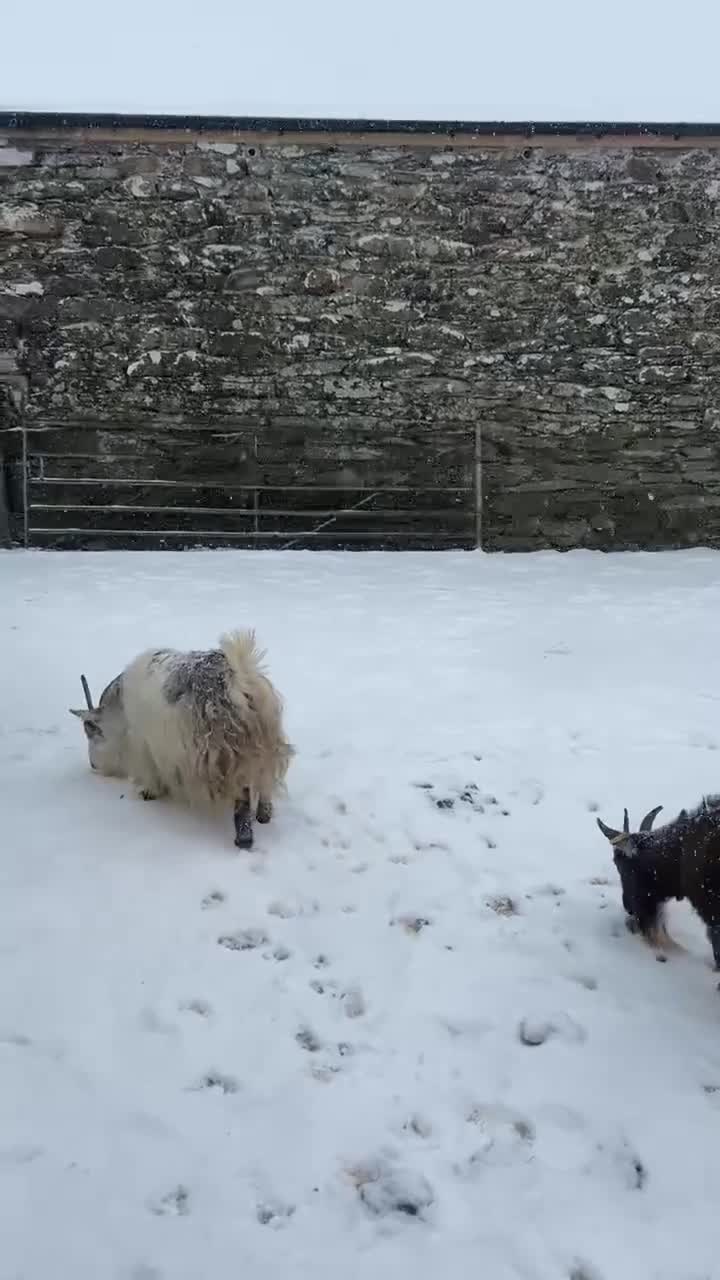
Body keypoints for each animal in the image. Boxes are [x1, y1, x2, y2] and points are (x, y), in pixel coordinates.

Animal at [70, 629, 293, 849]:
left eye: (93, 732)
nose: (94, 765)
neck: (120, 712)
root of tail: (241, 681)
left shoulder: (146, 745)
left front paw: (149, 793)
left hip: (227, 752)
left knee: (242, 793)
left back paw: (244, 839)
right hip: (266, 744)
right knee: (264, 782)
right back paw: (264, 816)